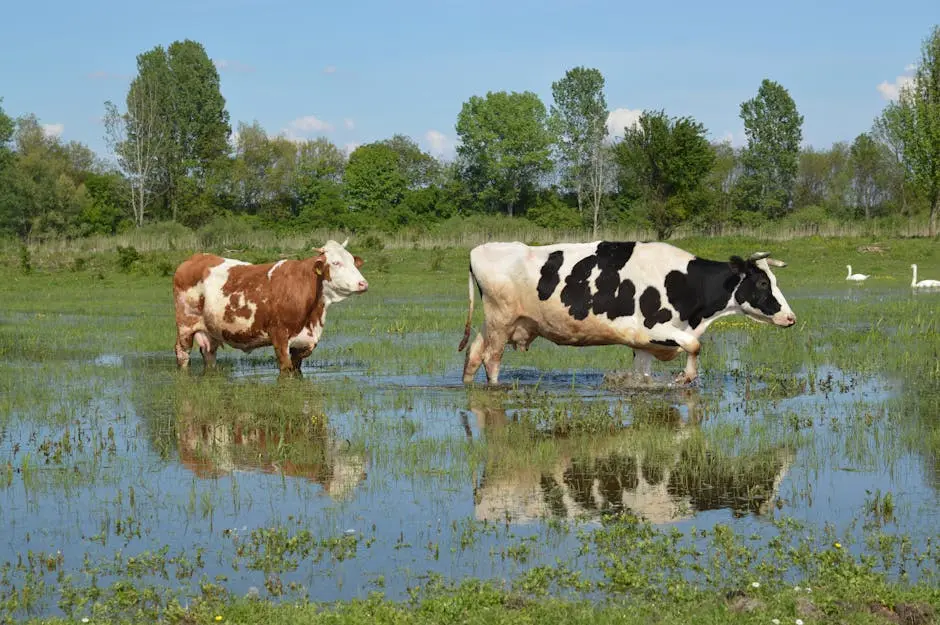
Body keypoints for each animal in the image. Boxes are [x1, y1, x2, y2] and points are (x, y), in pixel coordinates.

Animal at [173, 238, 368, 374]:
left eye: (352, 261)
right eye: (336, 263)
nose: (363, 283)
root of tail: (196, 257)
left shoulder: (303, 343)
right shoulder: (279, 336)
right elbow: (285, 370)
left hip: (211, 330)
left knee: (209, 354)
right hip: (185, 326)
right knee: (182, 354)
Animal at [458, 240, 795, 385]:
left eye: (774, 280)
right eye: (762, 282)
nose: (790, 318)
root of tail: (478, 249)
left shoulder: (645, 344)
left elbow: (643, 376)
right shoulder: (650, 328)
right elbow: (695, 345)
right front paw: (686, 377)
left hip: (494, 324)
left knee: (474, 355)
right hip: (501, 322)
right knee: (492, 360)